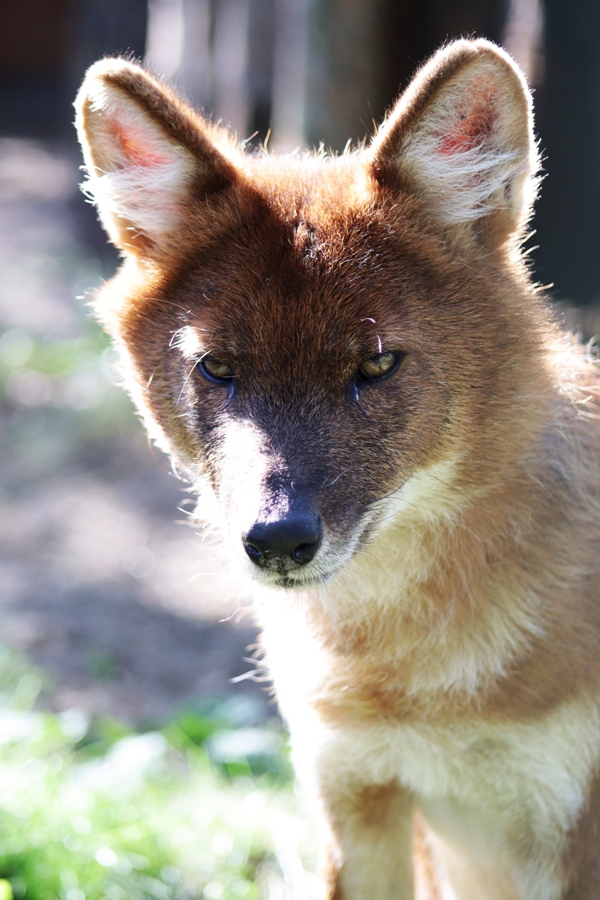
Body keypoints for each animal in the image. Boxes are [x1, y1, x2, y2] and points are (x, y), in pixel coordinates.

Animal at [75, 38, 600, 898]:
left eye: (377, 364)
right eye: (218, 367)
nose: (277, 540)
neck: (408, 673)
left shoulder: (562, 843)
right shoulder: (353, 800)